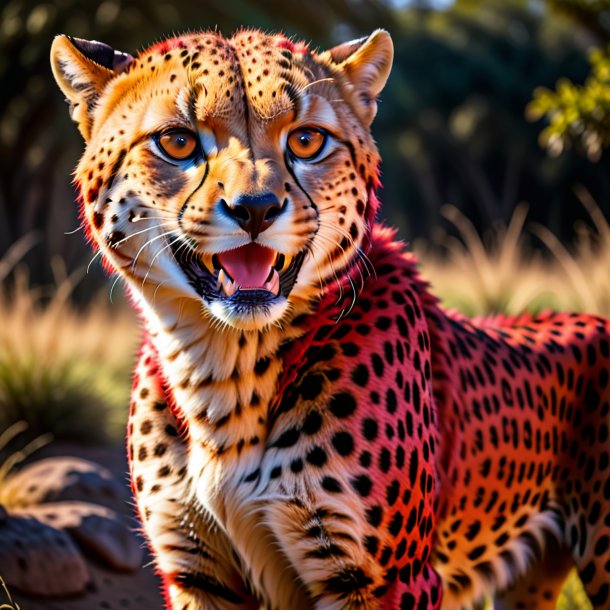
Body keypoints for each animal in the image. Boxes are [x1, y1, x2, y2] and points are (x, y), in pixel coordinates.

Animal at [50, 26, 608, 604]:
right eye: (177, 141)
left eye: (306, 141)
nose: (255, 209)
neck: (224, 366)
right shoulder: (196, 573)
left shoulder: (387, 580)